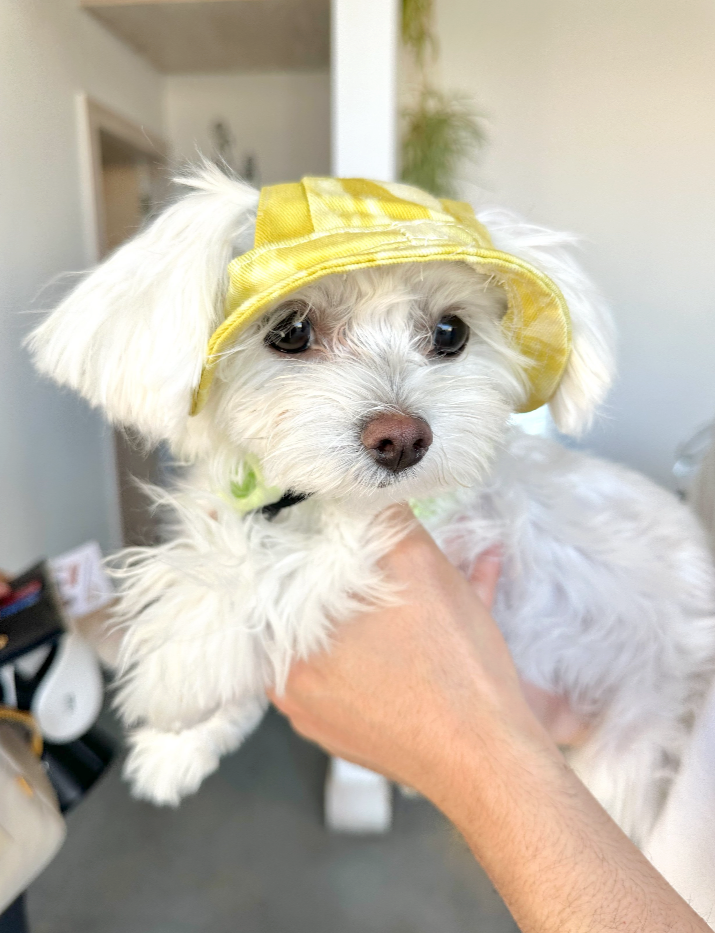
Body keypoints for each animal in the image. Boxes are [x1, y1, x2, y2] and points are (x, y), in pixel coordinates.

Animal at [28, 166, 715, 844]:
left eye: (451, 332)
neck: (300, 503)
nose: (402, 439)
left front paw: (181, 663)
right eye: (291, 330)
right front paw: (176, 749)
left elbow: (269, 573)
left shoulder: (416, 531)